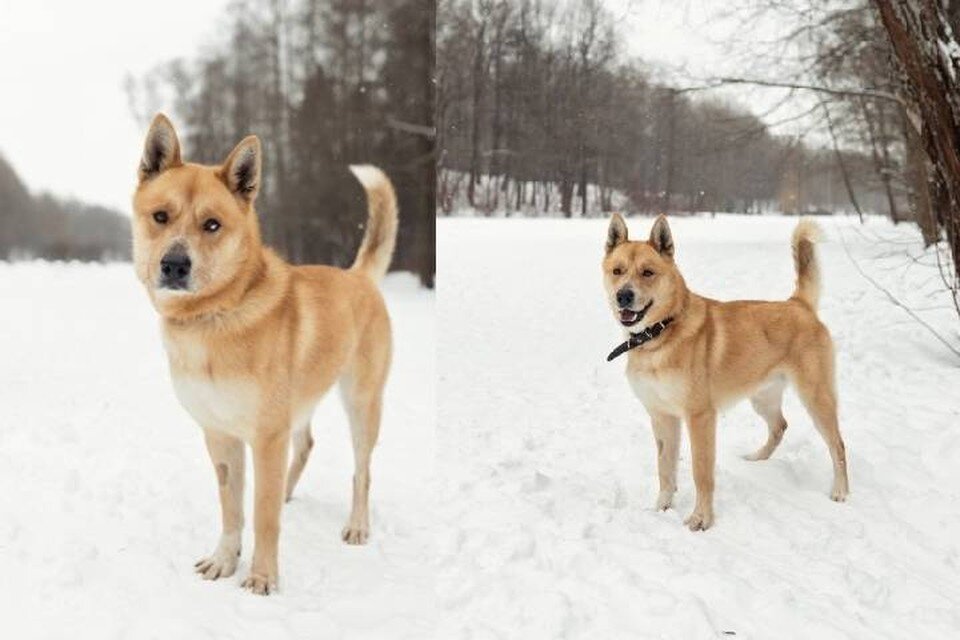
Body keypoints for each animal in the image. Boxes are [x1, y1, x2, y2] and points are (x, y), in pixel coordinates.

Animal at [132, 115, 398, 596]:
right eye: (160, 216)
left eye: (212, 225)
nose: (174, 265)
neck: (214, 316)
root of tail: (358, 277)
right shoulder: (220, 435)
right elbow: (233, 508)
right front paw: (224, 560)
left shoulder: (267, 436)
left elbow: (263, 514)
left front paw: (262, 576)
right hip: (302, 403)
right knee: (306, 445)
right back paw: (290, 493)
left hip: (362, 403)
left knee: (362, 471)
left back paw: (357, 525)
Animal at [600, 215, 848, 528]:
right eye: (617, 271)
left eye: (648, 272)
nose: (623, 296)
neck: (659, 336)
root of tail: (798, 304)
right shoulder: (662, 417)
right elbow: (665, 469)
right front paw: (661, 509)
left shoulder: (700, 417)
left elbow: (701, 472)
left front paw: (701, 519)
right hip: (762, 397)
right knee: (779, 426)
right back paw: (757, 458)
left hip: (816, 398)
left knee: (838, 445)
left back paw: (840, 490)